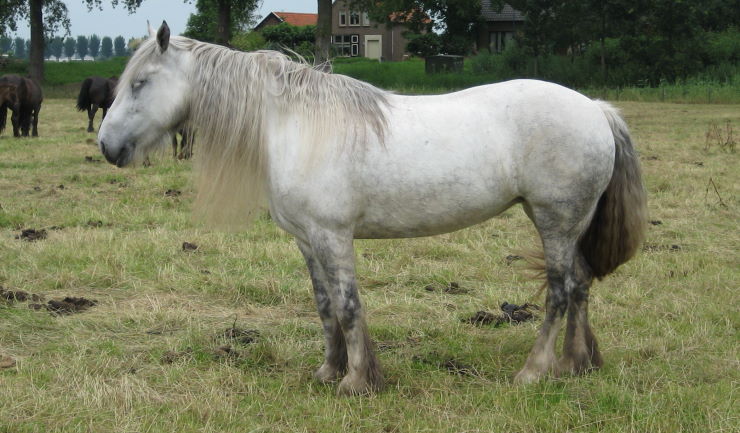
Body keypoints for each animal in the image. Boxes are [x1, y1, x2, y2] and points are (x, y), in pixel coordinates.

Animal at [98, 22, 647, 395]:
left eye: (141, 82)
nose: (107, 145)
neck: (296, 125)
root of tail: (596, 109)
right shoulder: (308, 240)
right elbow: (324, 305)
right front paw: (328, 371)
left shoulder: (333, 236)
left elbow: (348, 305)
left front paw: (357, 381)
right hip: (564, 224)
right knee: (579, 285)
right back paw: (576, 365)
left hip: (556, 220)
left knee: (558, 293)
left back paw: (533, 372)